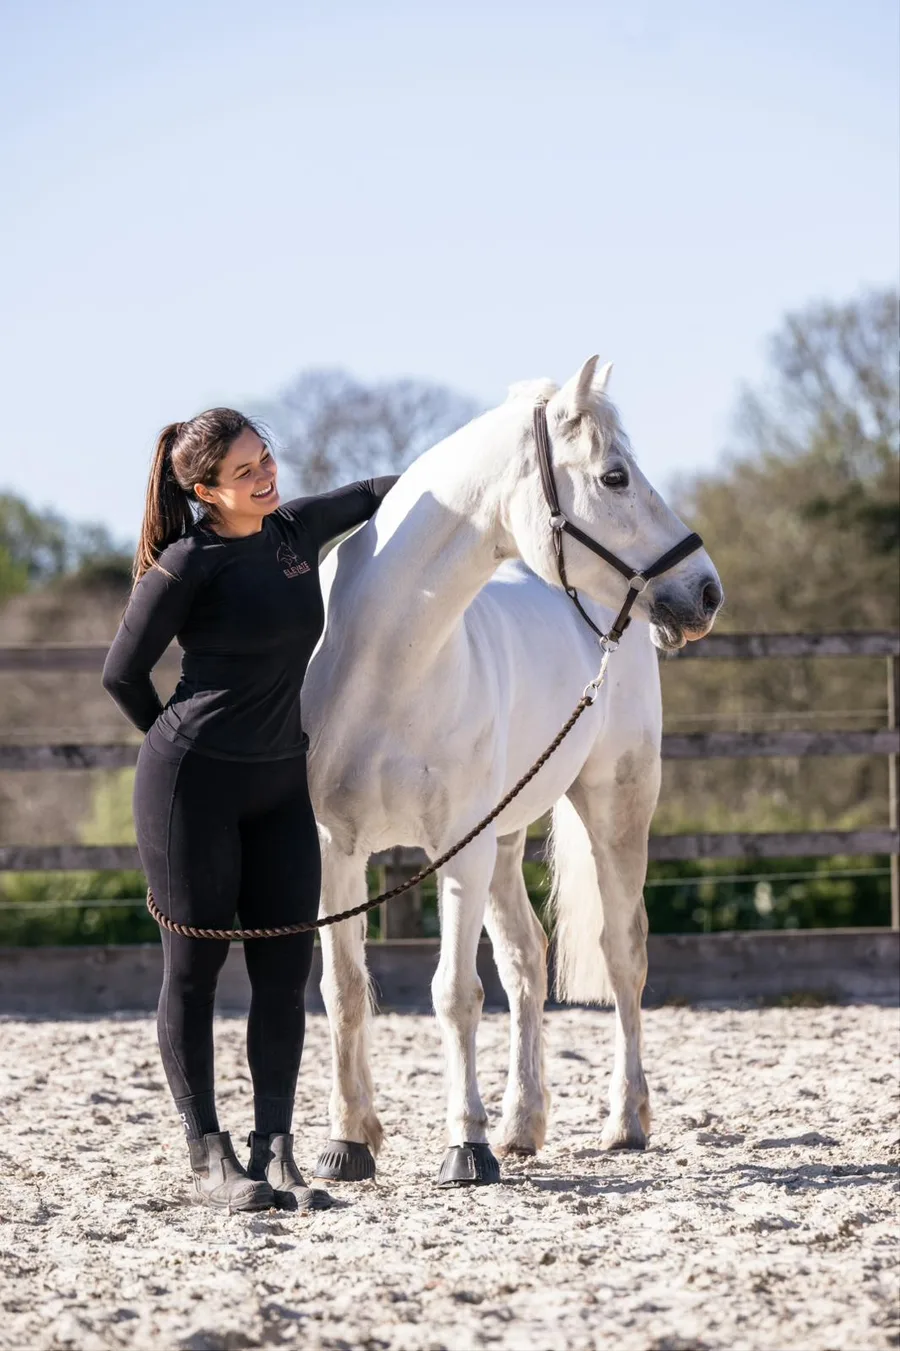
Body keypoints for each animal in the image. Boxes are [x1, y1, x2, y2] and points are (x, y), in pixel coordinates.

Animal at [301, 356, 723, 1186]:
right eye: (615, 475)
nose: (705, 591)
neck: (384, 665)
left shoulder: (455, 853)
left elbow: (455, 993)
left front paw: (464, 1144)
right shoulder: (338, 848)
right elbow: (346, 988)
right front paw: (349, 1138)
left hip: (612, 808)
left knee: (622, 955)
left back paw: (623, 1120)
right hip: (503, 843)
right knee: (528, 957)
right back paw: (522, 1124)